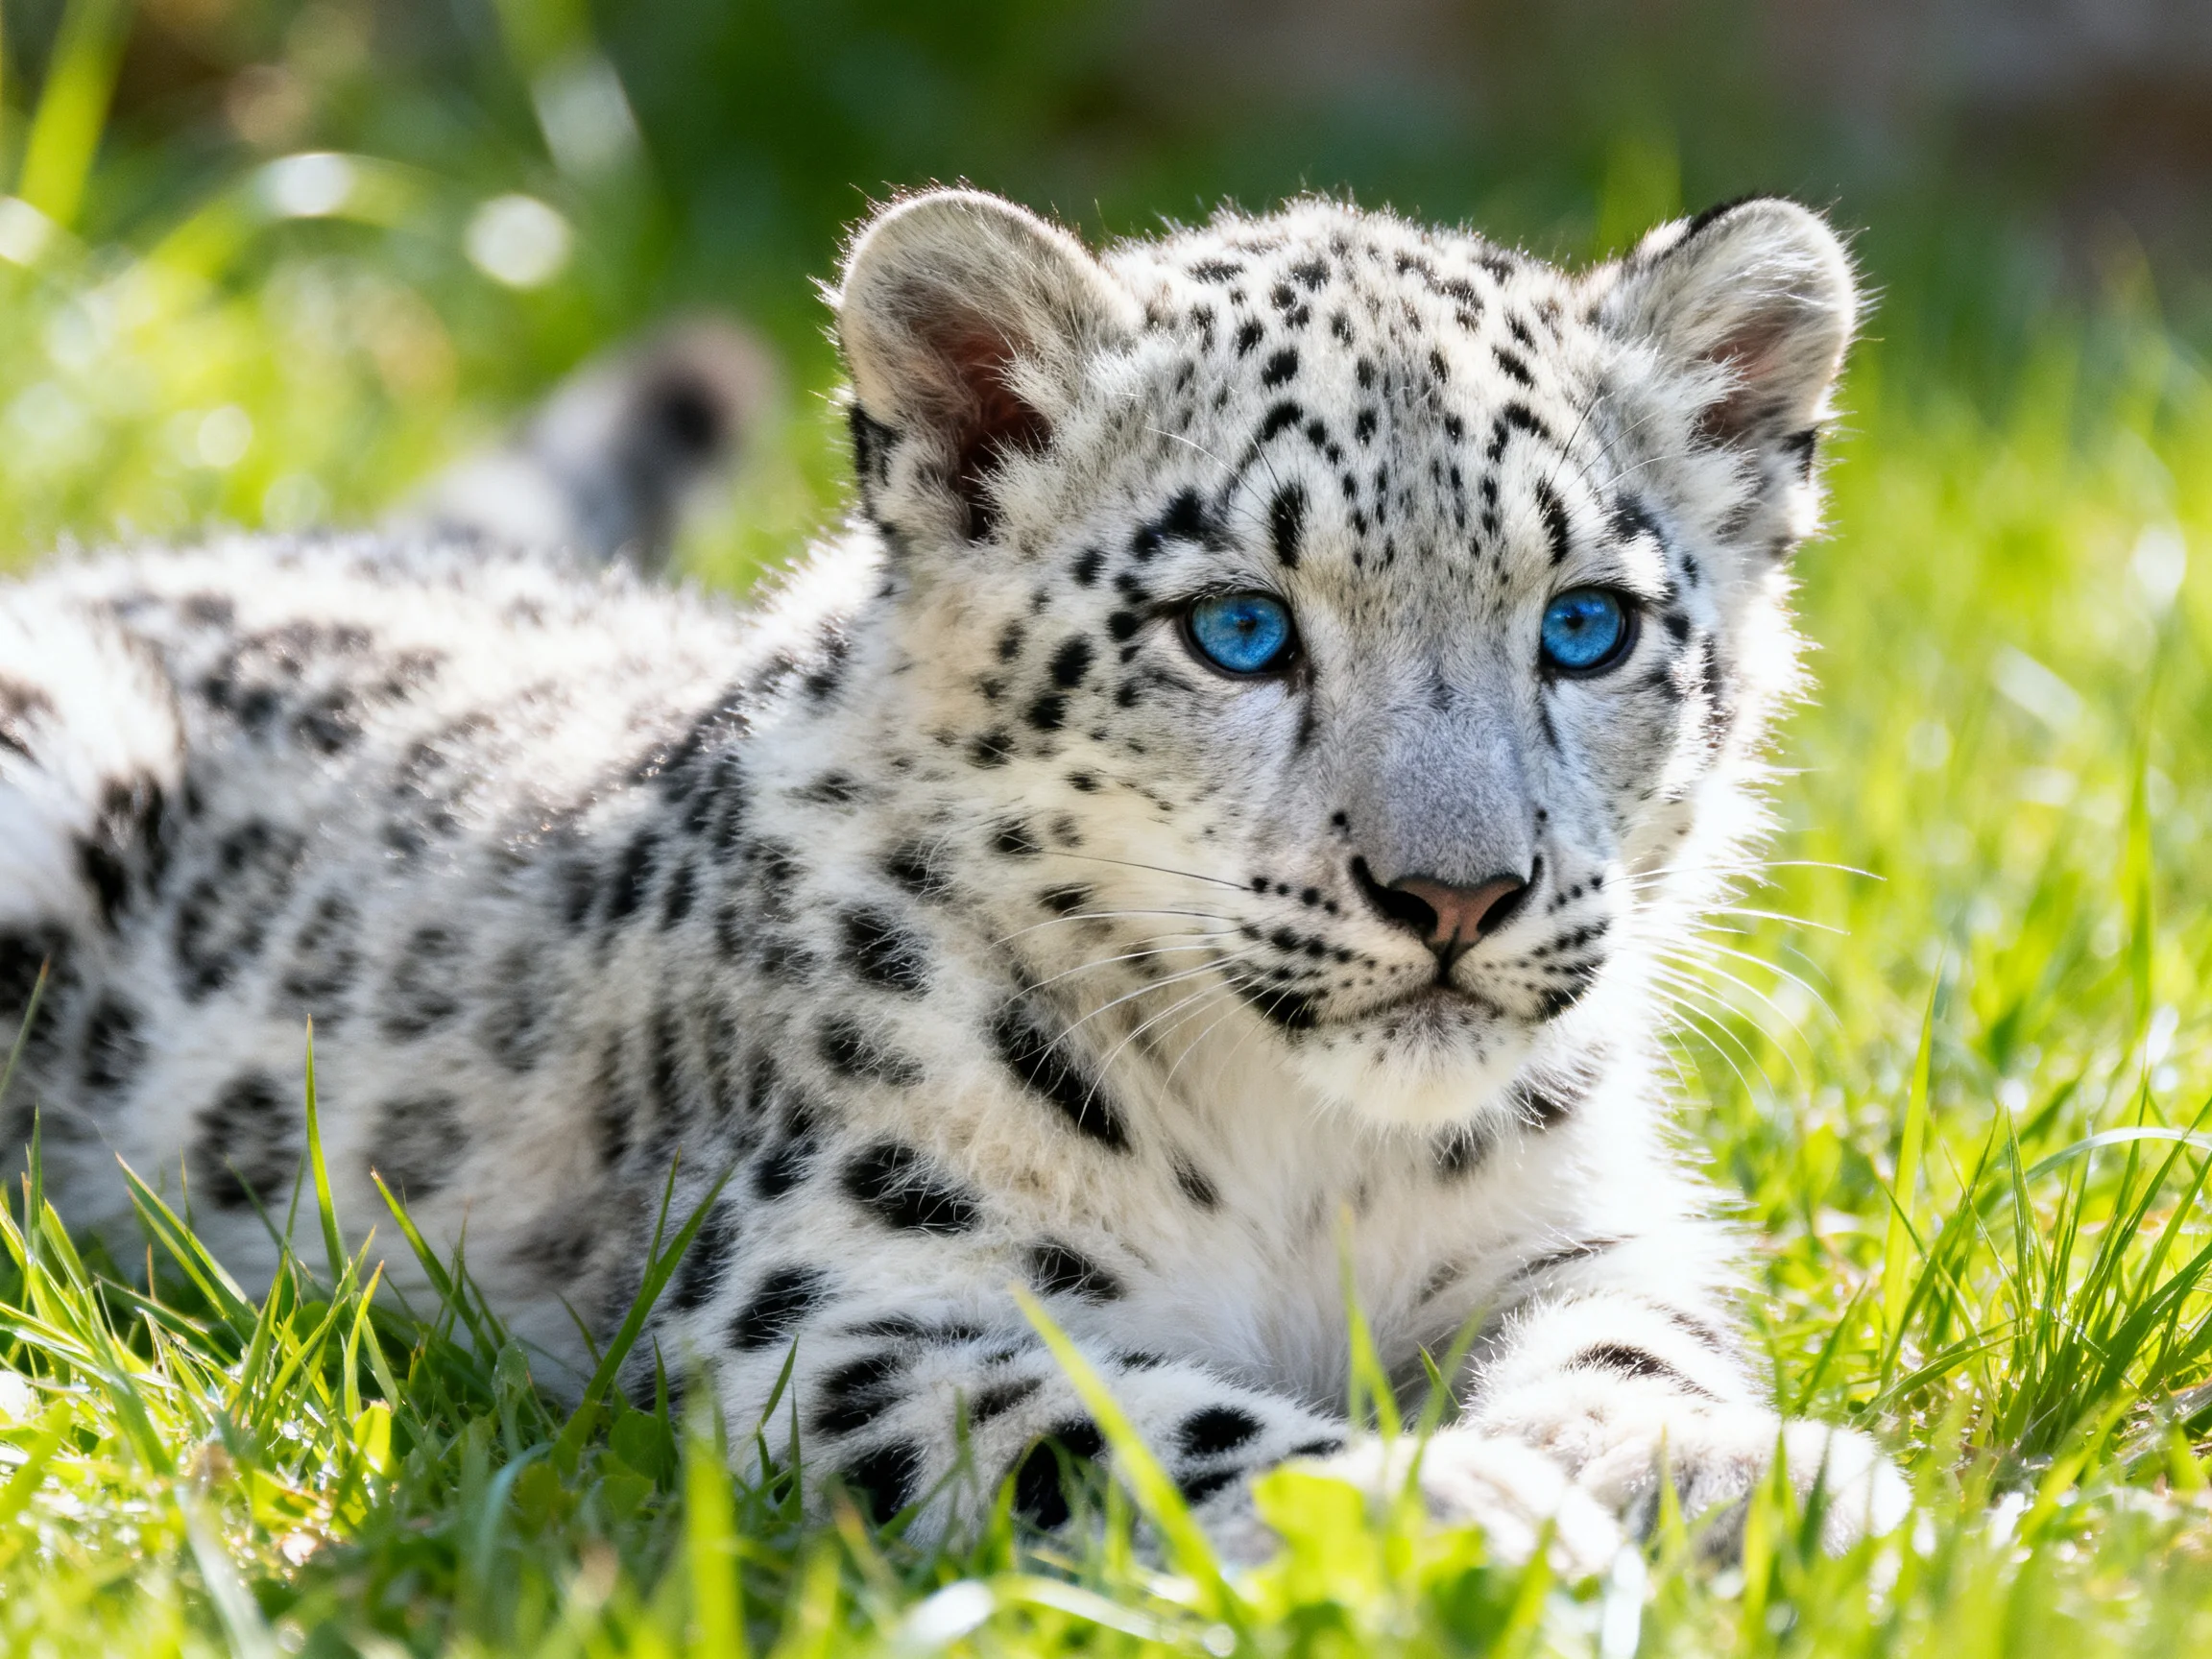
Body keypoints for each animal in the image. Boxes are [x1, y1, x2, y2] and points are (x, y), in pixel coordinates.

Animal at [0, 186, 1908, 1571]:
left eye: (1584, 624)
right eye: (1238, 627)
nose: (1455, 894)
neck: (1304, 1152)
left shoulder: (1564, 1225)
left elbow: (1627, 1343)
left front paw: (1768, 1482)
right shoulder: (844, 1310)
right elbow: (1140, 1419)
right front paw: (1457, 1512)